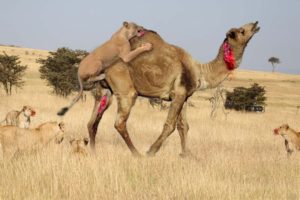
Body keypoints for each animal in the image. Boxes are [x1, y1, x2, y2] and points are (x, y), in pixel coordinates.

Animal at [66, 21, 260, 157]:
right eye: (241, 31)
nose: (256, 24)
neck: (200, 71)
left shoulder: (184, 96)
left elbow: (184, 126)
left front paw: (186, 155)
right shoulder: (178, 93)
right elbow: (170, 125)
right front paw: (151, 151)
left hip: (105, 91)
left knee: (93, 122)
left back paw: (94, 152)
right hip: (126, 90)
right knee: (119, 122)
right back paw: (137, 153)